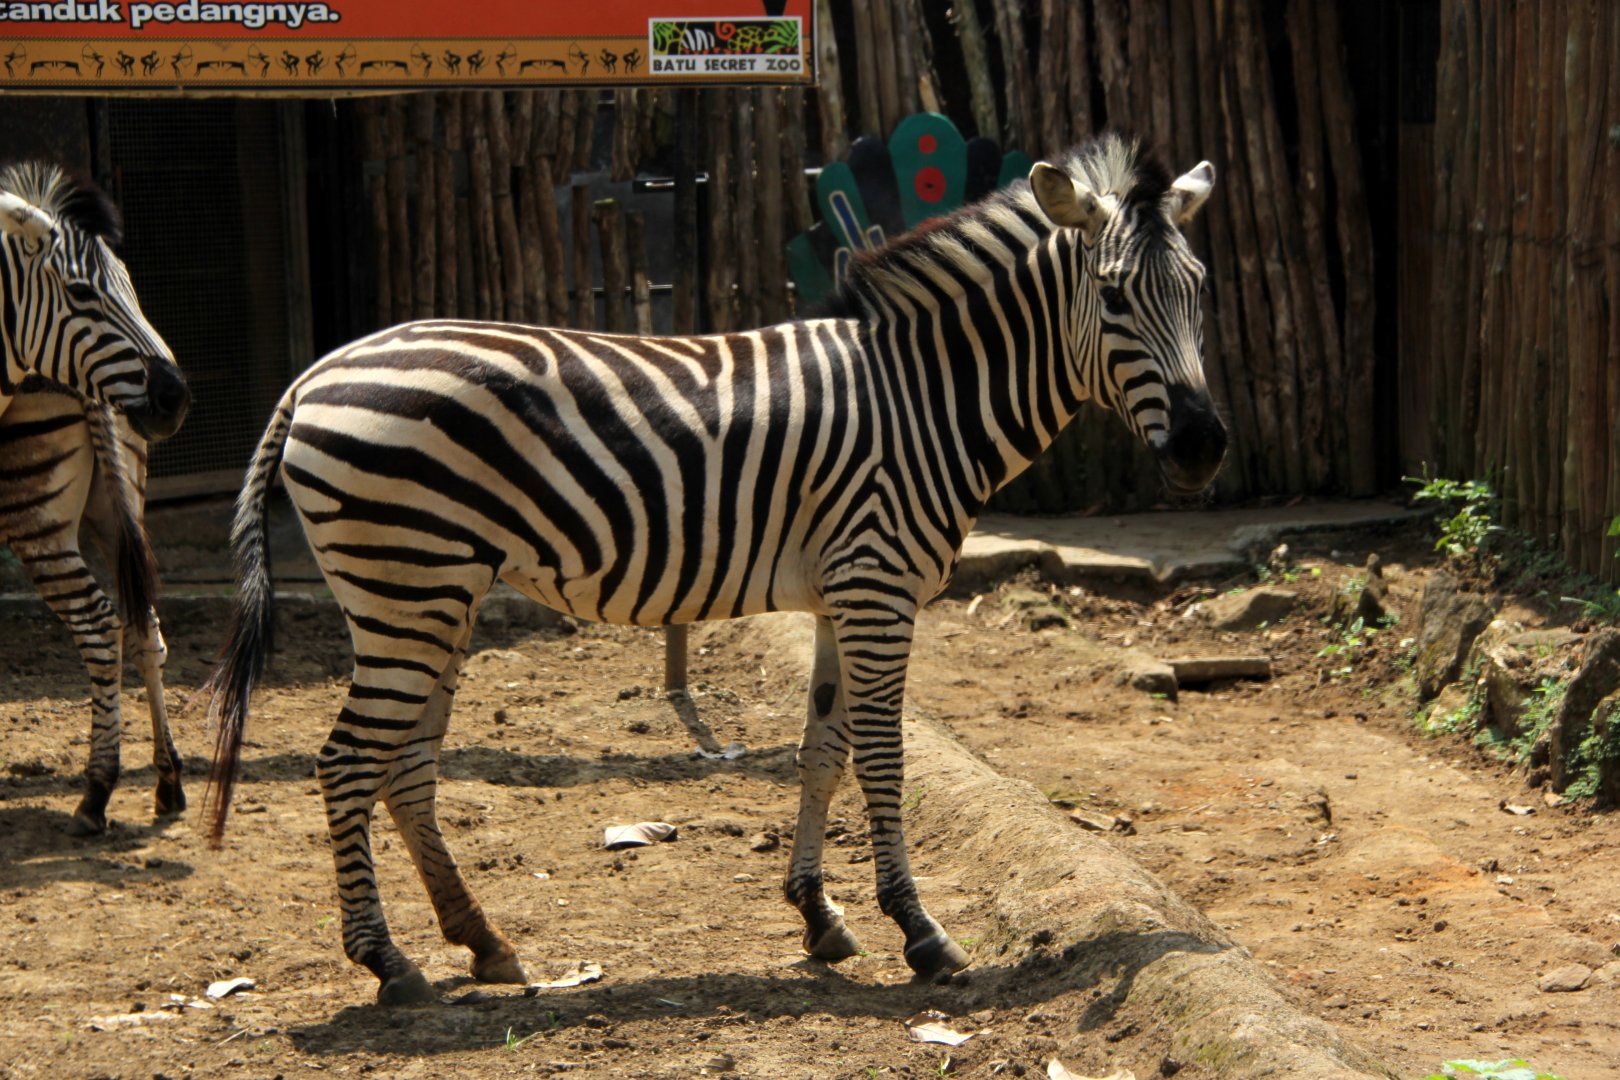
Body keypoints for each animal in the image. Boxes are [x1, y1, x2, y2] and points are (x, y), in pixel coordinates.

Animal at [1, 382, 182, 834]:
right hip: (118, 501)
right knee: (145, 630)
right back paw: (169, 781)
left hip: (37, 513)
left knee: (99, 628)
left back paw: (97, 793)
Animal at [204, 134, 1225, 1005]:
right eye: (1115, 297)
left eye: (1201, 289)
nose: (1205, 448)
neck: (924, 398)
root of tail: (313, 374)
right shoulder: (879, 587)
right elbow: (883, 758)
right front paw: (920, 932)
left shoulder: (841, 594)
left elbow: (823, 751)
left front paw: (818, 914)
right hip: (407, 586)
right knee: (347, 761)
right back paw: (388, 963)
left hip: (432, 595)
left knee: (405, 766)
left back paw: (483, 942)